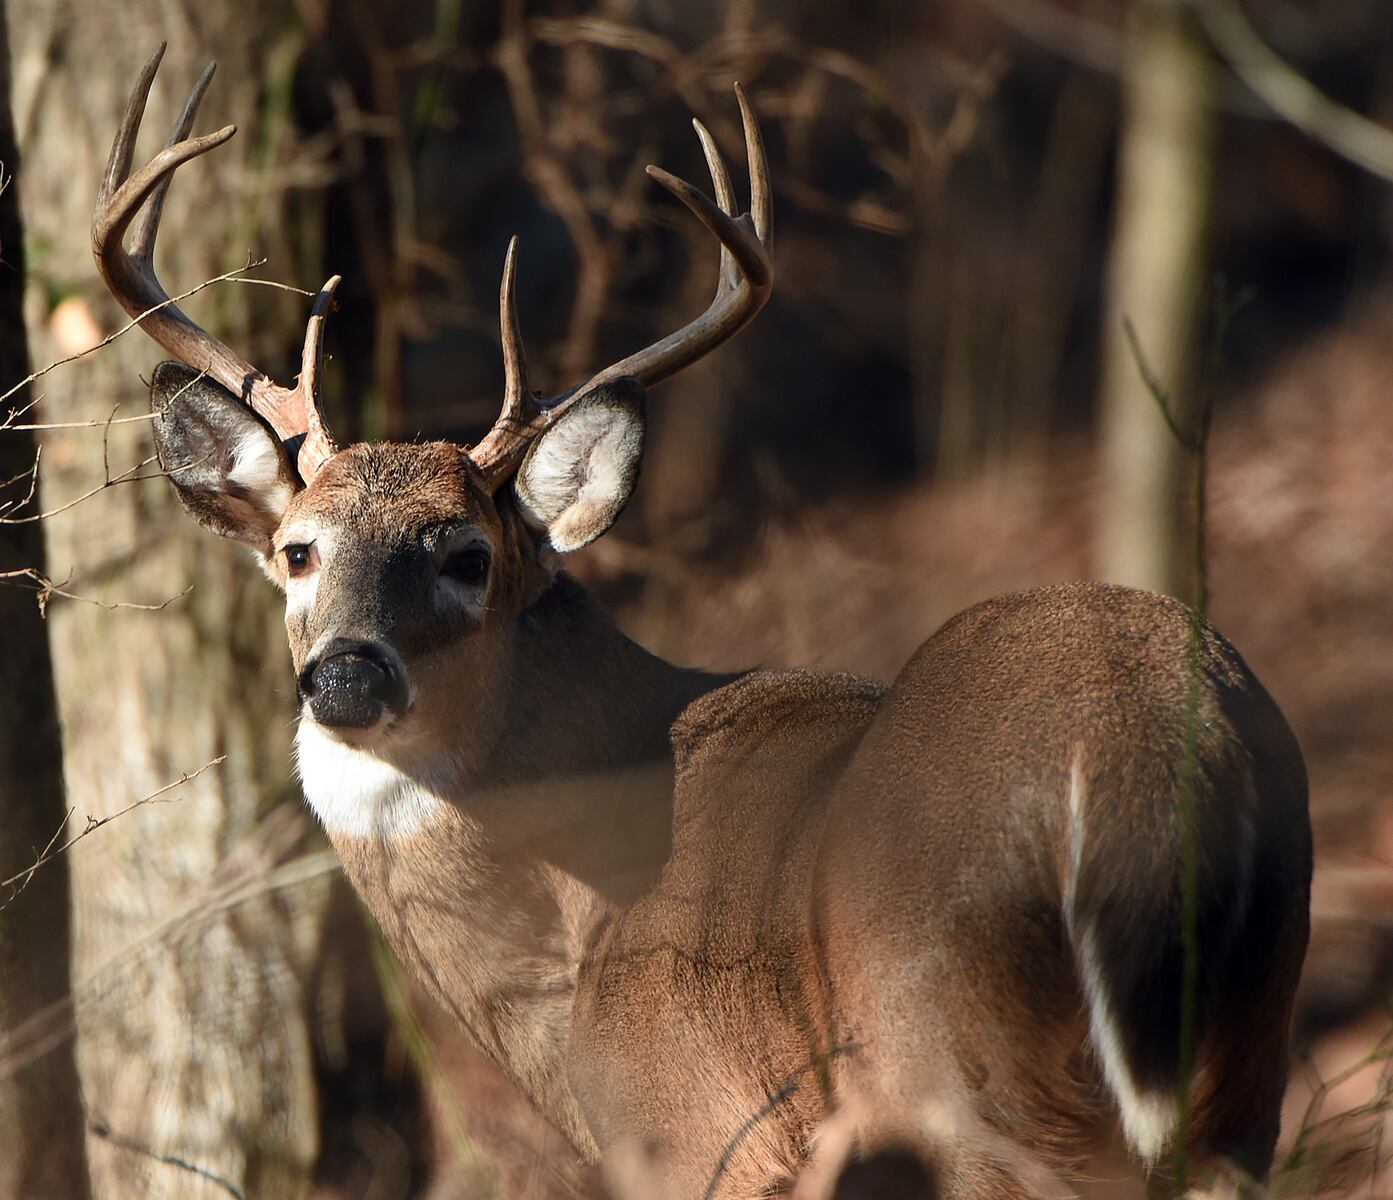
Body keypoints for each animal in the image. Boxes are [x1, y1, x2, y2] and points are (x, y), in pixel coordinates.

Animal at [92, 46, 1311, 1200]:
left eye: (467, 557)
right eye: (298, 552)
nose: (348, 671)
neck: (568, 954)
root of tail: (1145, 761)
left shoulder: (690, 1135)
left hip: (964, 1069)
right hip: (1243, 1068)